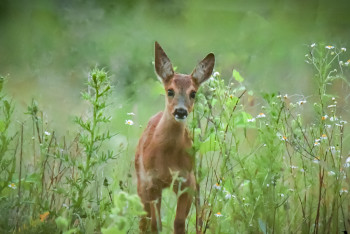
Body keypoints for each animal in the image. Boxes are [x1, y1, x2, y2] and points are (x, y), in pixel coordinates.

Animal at [135, 42, 215, 234]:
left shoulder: (186, 182)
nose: (180, 111)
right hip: (141, 182)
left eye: (193, 93)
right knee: (144, 220)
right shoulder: (152, 182)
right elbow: (155, 224)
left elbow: (179, 222)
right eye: (170, 91)